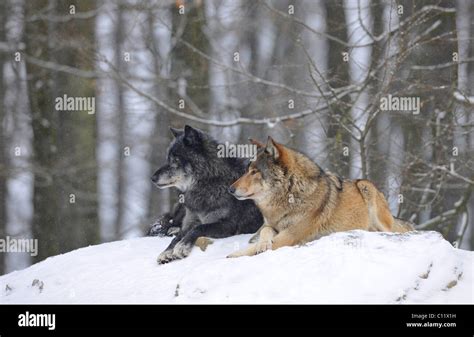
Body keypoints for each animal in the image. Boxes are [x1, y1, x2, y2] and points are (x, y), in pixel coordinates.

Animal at [152, 124, 262, 262]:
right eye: (168, 159)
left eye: (176, 160)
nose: (152, 178)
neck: (210, 181)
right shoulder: (190, 221)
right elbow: (179, 236)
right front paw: (167, 251)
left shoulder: (228, 225)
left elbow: (199, 228)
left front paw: (182, 246)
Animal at [228, 136, 412, 258]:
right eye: (247, 170)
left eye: (254, 172)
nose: (230, 189)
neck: (289, 196)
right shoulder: (271, 225)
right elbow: (265, 232)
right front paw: (262, 243)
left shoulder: (290, 236)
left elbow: (256, 248)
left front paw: (233, 254)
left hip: (366, 187)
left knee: (390, 232)